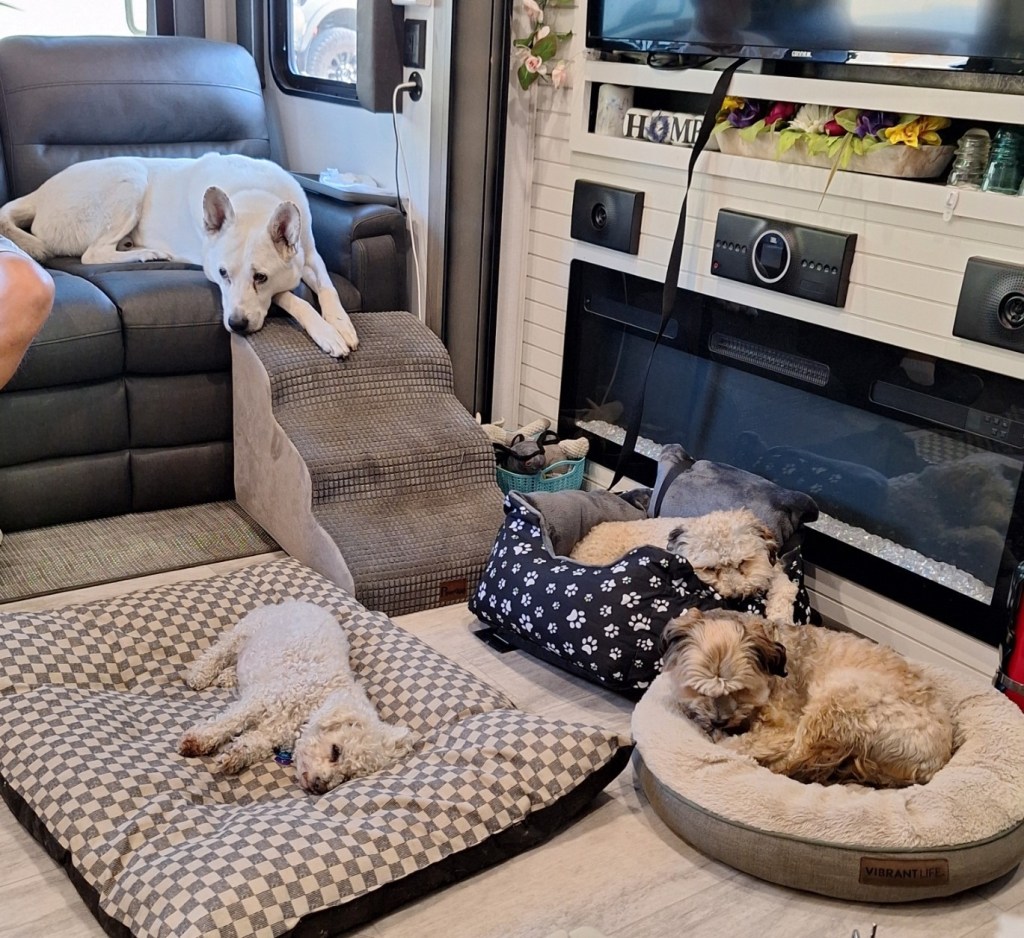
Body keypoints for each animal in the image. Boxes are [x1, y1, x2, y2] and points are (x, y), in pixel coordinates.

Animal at [0, 152, 358, 357]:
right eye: (223, 274)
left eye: (260, 277)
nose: (236, 325)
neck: (254, 197)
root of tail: (37, 195)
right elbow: (294, 299)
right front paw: (327, 333)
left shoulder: (311, 256)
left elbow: (328, 288)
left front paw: (341, 323)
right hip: (130, 177)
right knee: (93, 254)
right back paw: (147, 253)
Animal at [178, 600, 413, 793]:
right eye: (336, 751)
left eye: (348, 775)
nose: (320, 787)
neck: (311, 706)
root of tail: (301, 602)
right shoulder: (260, 701)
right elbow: (228, 721)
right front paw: (197, 740)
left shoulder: (272, 732)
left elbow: (254, 743)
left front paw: (235, 756)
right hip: (244, 631)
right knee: (220, 650)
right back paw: (200, 674)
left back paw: (227, 677)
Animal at [569, 508, 798, 622]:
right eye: (710, 569)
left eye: (743, 562)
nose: (735, 596)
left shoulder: (774, 572)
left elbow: (786, 588)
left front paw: (781, 617)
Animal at [661, 608, 954, 788]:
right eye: (697, 689)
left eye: (741, 691)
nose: (720, 721)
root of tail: (934, 764)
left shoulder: (784, 727)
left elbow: (741, 745)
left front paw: (723, 738)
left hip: (837, 701)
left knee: (791, 760)